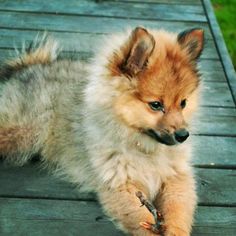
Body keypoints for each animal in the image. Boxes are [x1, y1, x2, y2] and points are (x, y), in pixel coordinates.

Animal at [0, 26, 203, 235]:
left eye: (183, 103)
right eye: (155, 105)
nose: (183, 135)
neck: (143, 147)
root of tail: (29, 67)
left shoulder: (176, 179)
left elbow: (178, 212)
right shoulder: (120, 186)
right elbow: (141, 219)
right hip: (22, 130)